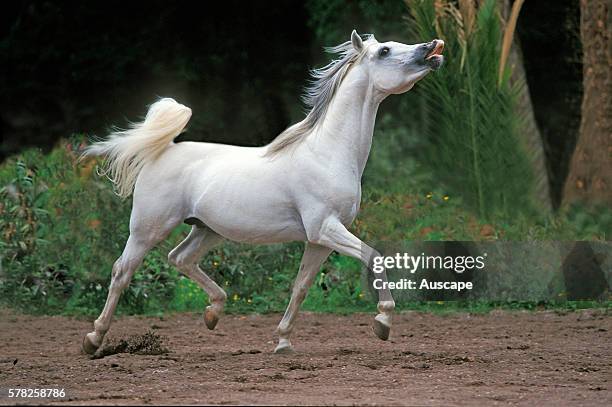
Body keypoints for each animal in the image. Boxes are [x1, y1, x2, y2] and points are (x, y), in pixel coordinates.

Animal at [82, 30, 444, 356]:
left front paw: (283, 341)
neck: (327, 153)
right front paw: (382, 322)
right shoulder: (325, 228)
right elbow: (374, 256)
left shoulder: (319, 240)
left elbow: (300, 286)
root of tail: (163, 151)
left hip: (207, 229)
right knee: (122, 272)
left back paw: (213, 314)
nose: (432, 47)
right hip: (148, 229)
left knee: (179, 258)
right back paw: (93, 340)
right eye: (384, 51)